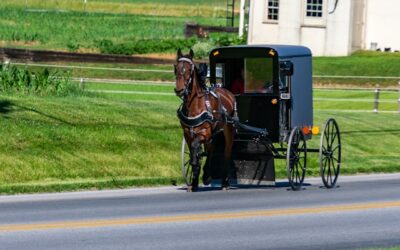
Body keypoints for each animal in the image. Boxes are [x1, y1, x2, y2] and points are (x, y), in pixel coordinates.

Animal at [173, 49, 236, 193]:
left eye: (189, 69)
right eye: (176, 68)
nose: (179, 89)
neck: (194, 104)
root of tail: (227, 92)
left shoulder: (204, 132)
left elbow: (197, 148)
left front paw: (200, 174)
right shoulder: (187, 133)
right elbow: (194, 154)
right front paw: (194, 182)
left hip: (228, 129)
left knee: (226, 152)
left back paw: (224, 182)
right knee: (211, 148)